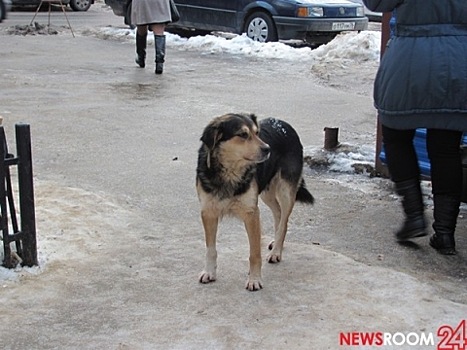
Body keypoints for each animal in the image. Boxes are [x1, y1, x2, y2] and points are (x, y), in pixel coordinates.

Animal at [196, 113, 312, 292]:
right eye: (243, 135)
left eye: (257, 133)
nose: (268, 149)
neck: (229, 173)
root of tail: (284, 123)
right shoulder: (208, 212)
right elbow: (210, 249)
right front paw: (209, 272)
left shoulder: (251, 213)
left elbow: (254, 253)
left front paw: (255, 280)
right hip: (266, 192)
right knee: (278, 212)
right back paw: (276, 242)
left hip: (285, 190)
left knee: (284, 221)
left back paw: (276, 252)